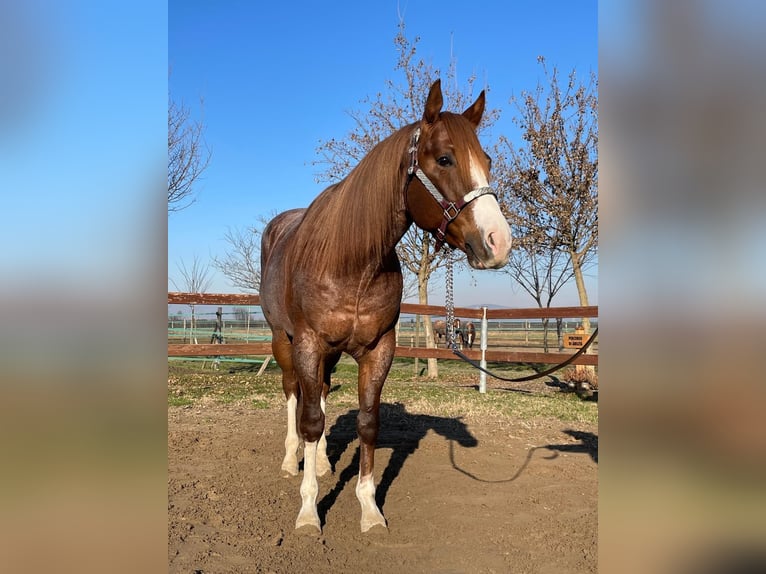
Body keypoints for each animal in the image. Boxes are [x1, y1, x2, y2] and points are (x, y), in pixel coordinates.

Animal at [260, 80, 516, 536]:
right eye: (445, 158)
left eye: (487, 161)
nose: (498, 241)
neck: (351, 260)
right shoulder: (308, 343)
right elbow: (310, 419)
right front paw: (308, 512)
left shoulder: (379, 348)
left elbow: (367, 422)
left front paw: (369, 508)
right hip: (282, 341)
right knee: (294, 396)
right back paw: (294, 460)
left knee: (319, 393)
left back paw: (321, 462)